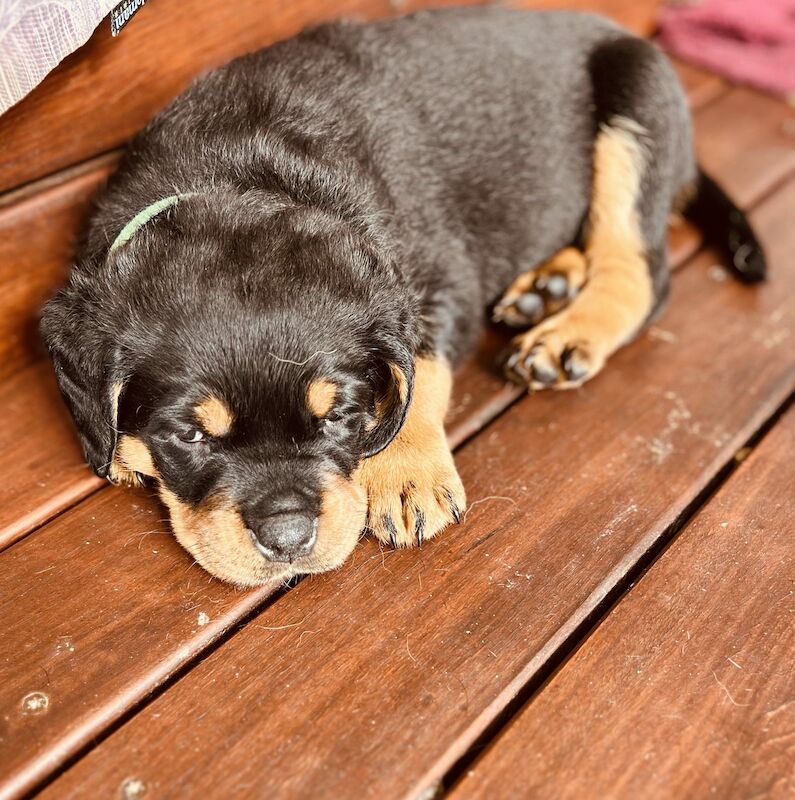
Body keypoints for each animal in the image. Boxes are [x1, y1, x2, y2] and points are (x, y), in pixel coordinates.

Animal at [42, 7, 764, 588]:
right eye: (189, 435)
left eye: (338, 417)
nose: (289, 539)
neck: (237, 173)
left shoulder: (438, 279)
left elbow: (420, 370)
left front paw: (405, 471)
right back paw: (546, 285)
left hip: (637, 102)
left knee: (639, 268)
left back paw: (567, 331)